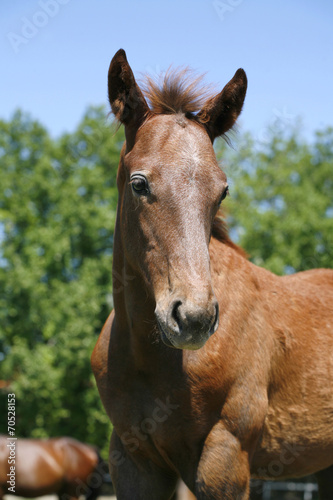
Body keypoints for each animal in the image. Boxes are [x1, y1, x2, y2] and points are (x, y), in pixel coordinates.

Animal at [91, 49, 332, 500]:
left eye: (222, 191)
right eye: (139, 184)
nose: (193, 318)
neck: (152, 359)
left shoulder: (225, 458)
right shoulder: (131, 460)